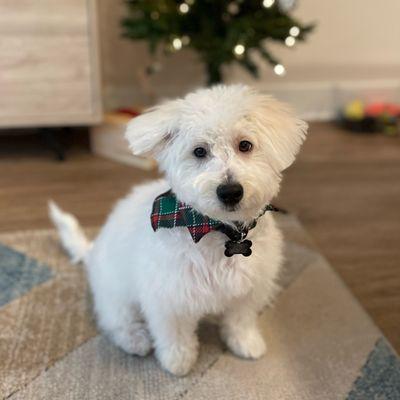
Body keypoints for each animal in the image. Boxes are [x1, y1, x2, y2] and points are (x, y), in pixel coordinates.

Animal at [49, 83, 306, 376]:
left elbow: (240, 319)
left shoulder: (249, 287)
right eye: (199, 151)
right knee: (115, 321)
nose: (230, 191)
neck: (216, 230)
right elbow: (175, 335)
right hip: (117, 295)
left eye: (245, 145)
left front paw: (245, 343)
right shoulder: (169, 297)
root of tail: (92, 251)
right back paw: (135, 340)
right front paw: (178, 361)